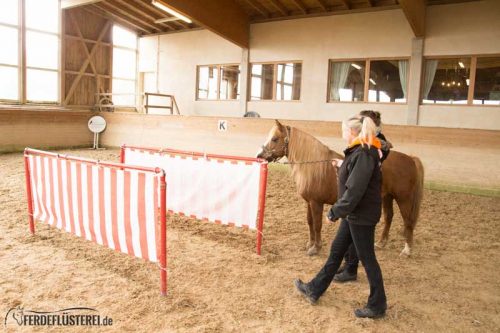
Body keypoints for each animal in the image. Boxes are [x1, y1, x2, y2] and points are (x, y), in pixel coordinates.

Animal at [258, 120, 426, 255]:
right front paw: (310, 244)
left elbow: (317, 224)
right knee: (389, 217)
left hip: (403, 199)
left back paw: (407, 250)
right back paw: (381, 243)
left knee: (408, 221)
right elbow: (310, 222)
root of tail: (410, 159)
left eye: (274, 139)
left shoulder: (316, 203)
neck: (313, 166)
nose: (260, 156)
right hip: (387, 197)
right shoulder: (308, 202)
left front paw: (316, 248)